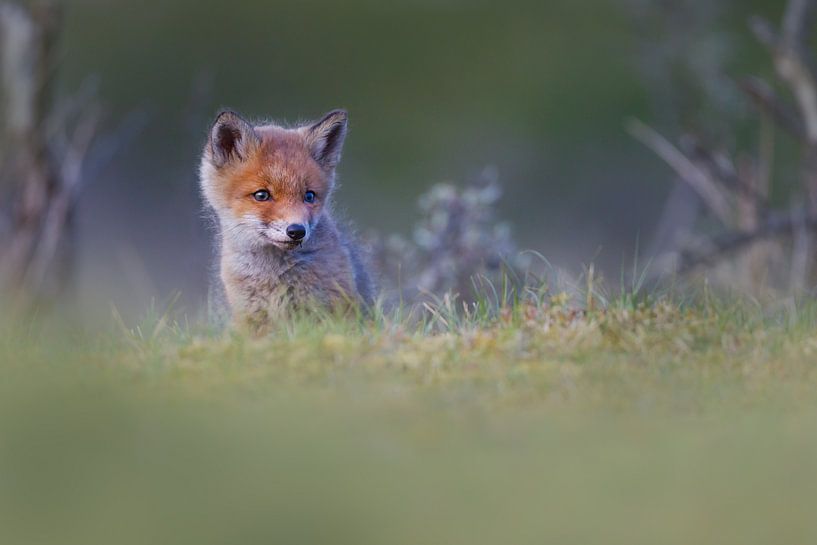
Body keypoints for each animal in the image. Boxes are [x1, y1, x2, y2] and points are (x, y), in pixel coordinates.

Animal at [199, 109, 375, 333]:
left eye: (309, 196)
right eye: (261, 195)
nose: (297, 231)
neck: (273, 275)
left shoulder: (337, 307)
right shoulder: (250, 317)